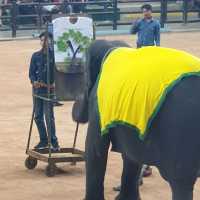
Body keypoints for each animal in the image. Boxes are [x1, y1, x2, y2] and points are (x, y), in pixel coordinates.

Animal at [73, 39, 200, 200]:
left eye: (83, 77)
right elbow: (130, 155)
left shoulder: (100, 102)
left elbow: (95, 148)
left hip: (181, 130)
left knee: (180, 180)